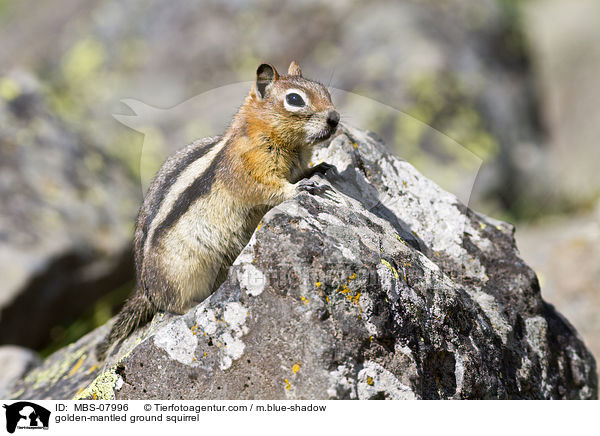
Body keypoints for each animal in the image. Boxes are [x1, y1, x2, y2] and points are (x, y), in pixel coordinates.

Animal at [99, 62, 342, 362]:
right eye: (295, 99)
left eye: (324, 91)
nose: (335, 118)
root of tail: (146, 290)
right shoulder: (249, 171)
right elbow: (267, 189)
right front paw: (299, 188)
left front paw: (318, 168)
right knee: (174, 306)